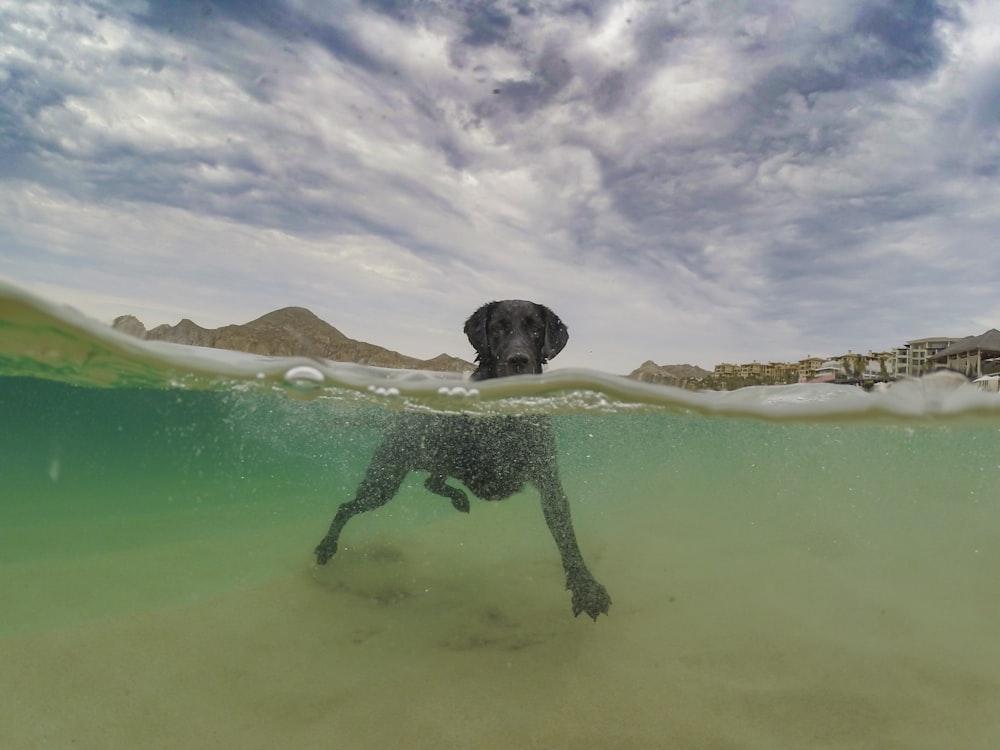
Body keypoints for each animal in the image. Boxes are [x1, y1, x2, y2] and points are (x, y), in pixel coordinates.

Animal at [314, 302, 608, 624]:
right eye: (498, 327)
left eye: (535, 328)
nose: (519, 360)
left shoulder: (549, 484)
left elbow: (567, 536)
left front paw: (586, 587)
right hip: (384, 482)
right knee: (348, 506)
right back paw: (326, 547)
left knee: (431, 481)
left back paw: (458, 499)